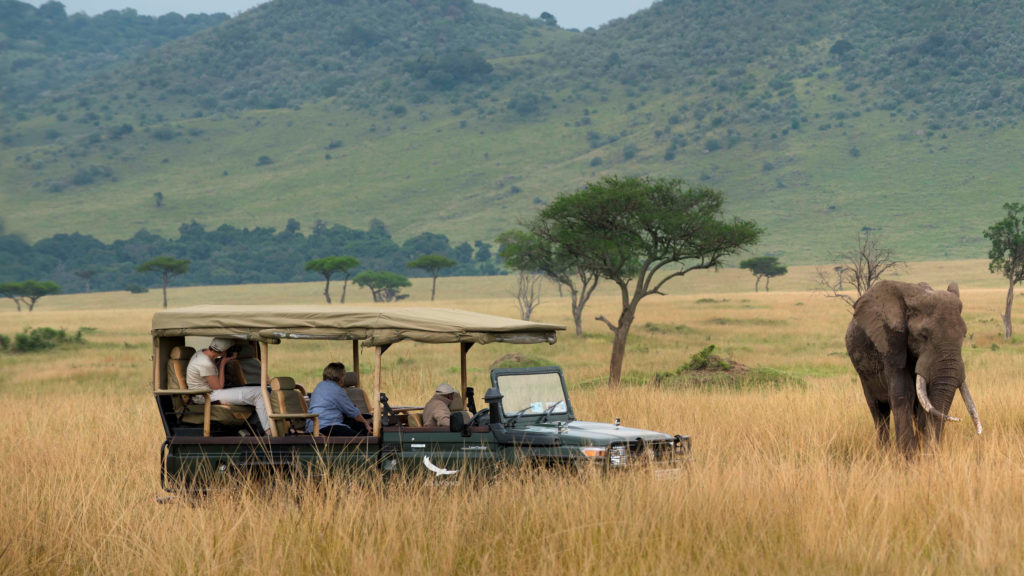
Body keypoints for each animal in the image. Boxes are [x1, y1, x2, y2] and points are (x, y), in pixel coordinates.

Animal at [845, 280, 982, 455]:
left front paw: (921, 454)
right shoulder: (892, 342)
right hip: (863, 373)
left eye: (964, 335)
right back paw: (884, 453)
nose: (958, 419)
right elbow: (903, 393)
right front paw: (908, 457)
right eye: (923, 335)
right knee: (878, 411)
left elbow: (926, 401)